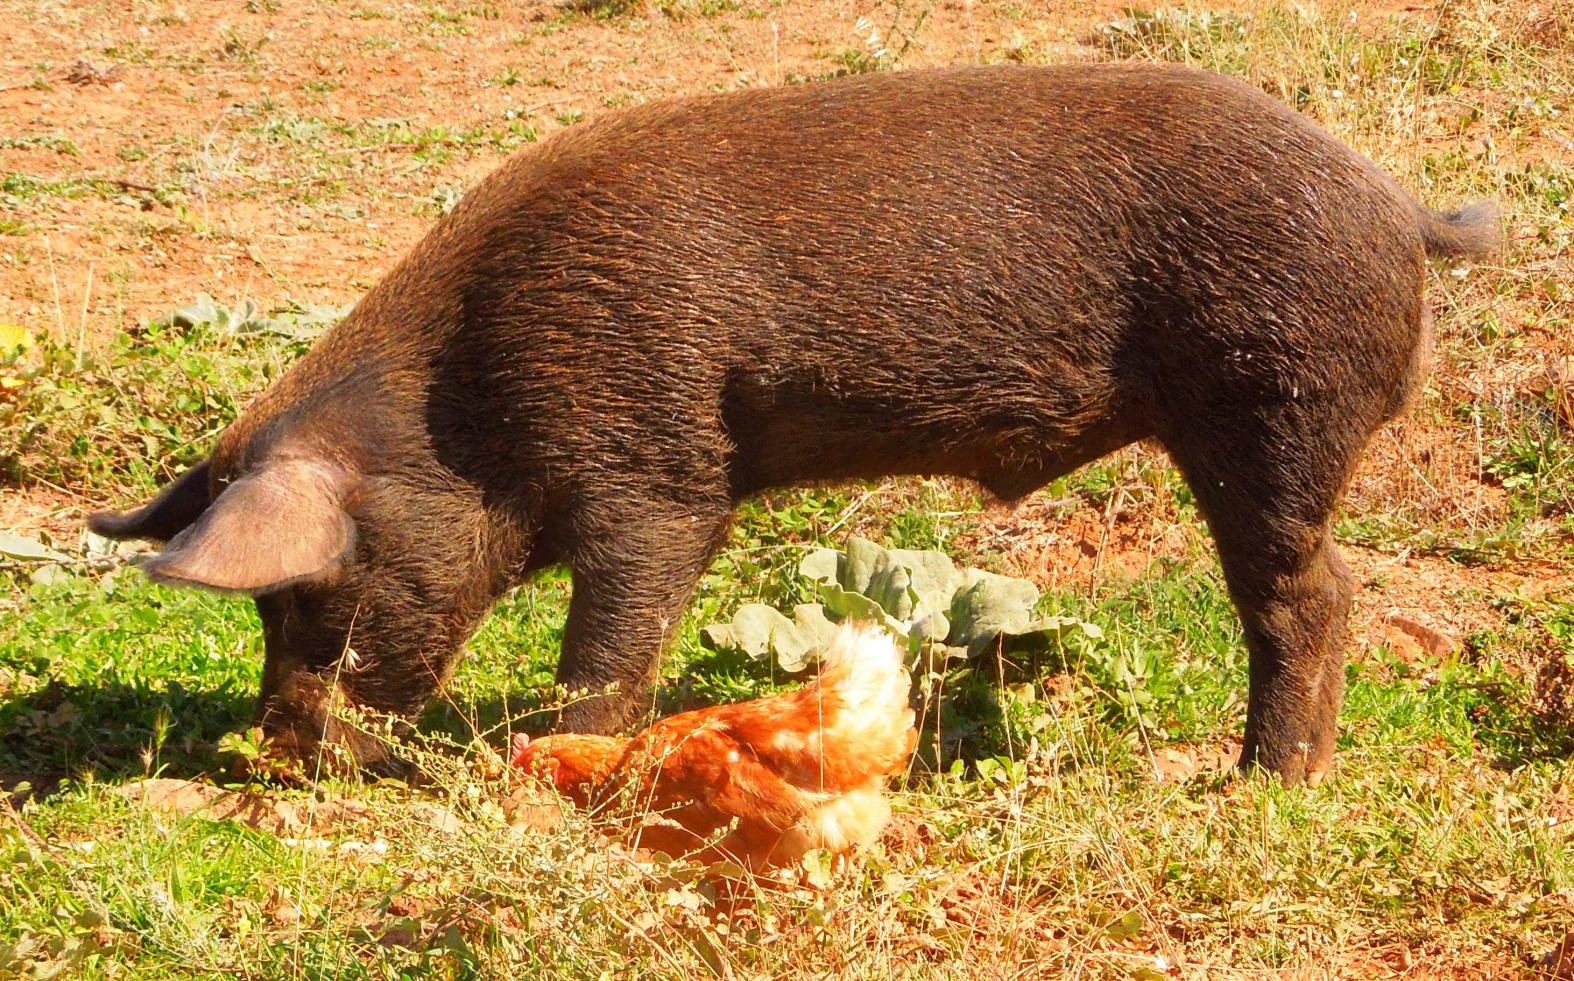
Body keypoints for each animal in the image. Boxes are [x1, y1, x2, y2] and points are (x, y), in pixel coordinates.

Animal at [89, 63, 1498, 784]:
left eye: (310, 593)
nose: (274, 760)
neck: (470, 402)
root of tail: (1398, 207)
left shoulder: (659, 460)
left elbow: (613, 638)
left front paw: (567, 764)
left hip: (1273, 403)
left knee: (1306, 597)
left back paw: (1258, 782)